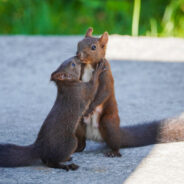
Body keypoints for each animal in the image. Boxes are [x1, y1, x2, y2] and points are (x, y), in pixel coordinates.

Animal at [74, 27, 184, 157]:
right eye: (79, 42)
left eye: (93, 47)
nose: (78, 54)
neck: (89, 66)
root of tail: (96, 136)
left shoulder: (106, 76)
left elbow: (103, 93)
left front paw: (90, 108)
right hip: (79, 125)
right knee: (82, 141)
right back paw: (76, 149)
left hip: (108, 123)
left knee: (115, 143)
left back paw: (113, 152)